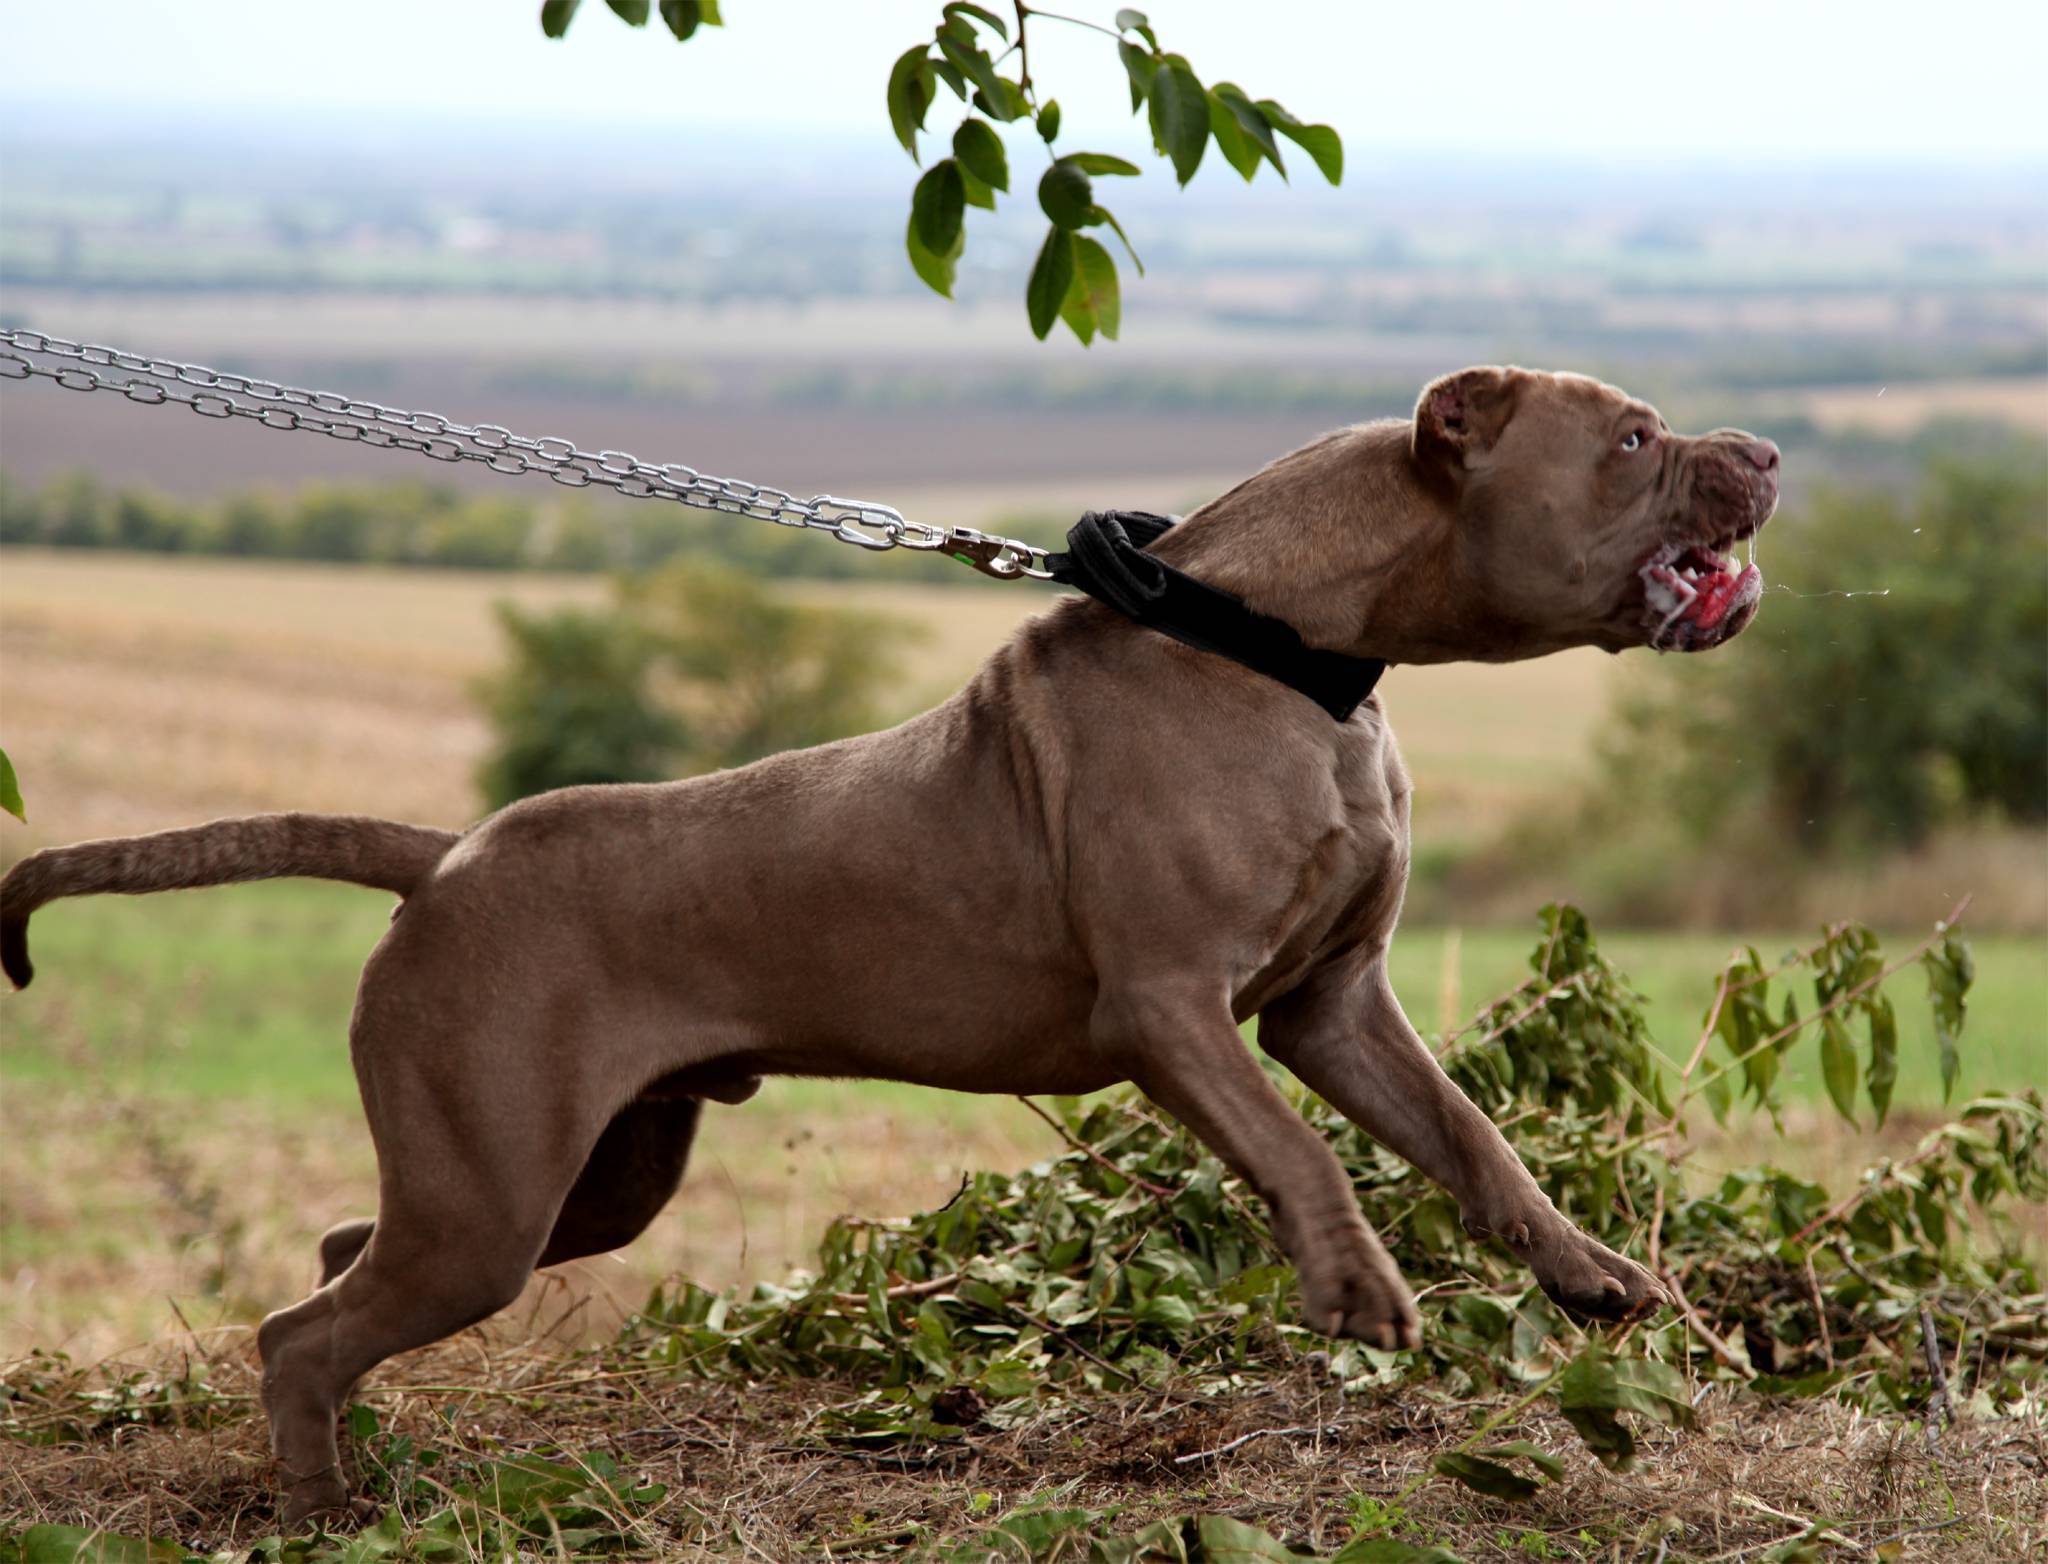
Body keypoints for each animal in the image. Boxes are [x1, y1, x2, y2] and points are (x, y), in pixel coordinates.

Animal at [0, 364, 1777, 1514]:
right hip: (494, 1200)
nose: (1763, 449)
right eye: (1630, 438)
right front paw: (1359, 1289)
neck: (1287, 653)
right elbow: (1303, 1153)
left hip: (574, 1183)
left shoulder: (1331, 1008)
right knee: (301, 1332)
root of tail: (445, 859)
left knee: (332, 1263)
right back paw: (322, 1505)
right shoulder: (1175, 1014)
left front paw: (1597, 1277)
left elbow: (1476, 1141)